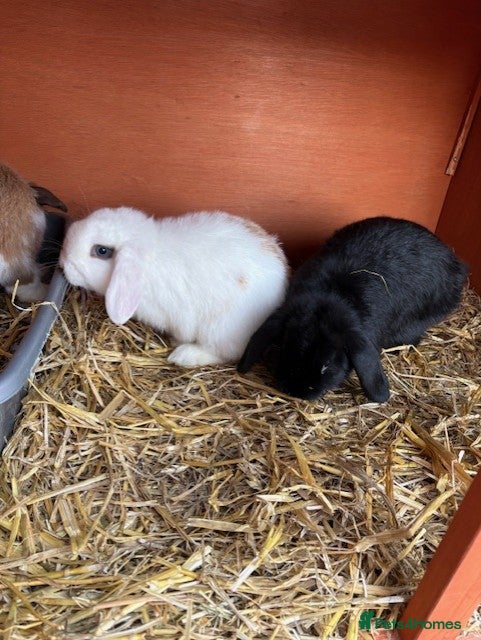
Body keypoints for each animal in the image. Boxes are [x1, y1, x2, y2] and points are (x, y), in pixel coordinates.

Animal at [60, 206, 289, 367]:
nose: (62, 261)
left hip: (221, 330)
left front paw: (176, 341)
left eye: (102, 251)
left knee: (228, 353)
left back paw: (184, 355)